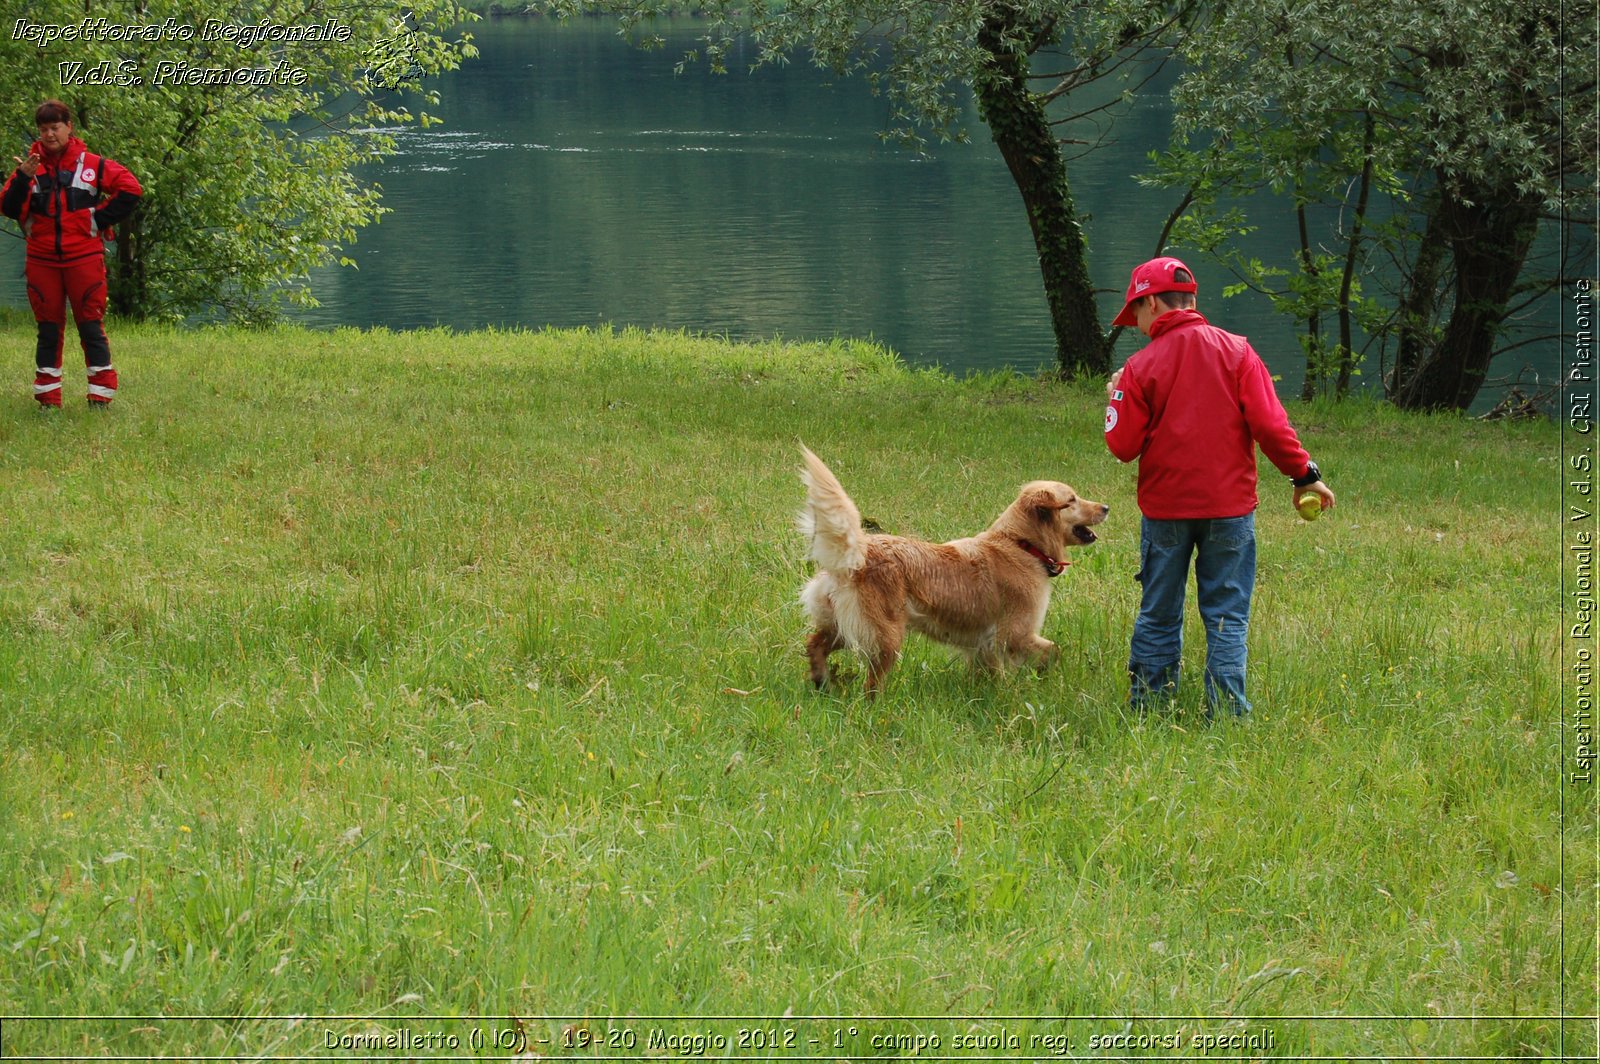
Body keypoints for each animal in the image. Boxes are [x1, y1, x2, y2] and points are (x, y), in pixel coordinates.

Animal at [796, 444, 1107, 694]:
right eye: (1072, 500)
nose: (1106, 507)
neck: (1021, 544)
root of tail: (859, 553)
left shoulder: (984, 646)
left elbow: (993, 674)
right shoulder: (1015, 635)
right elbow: (1054, 651)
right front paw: (1039, 679)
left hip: (842, 626)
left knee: (814, 645)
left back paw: (822, 681)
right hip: (886, 636)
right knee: (871, 684)